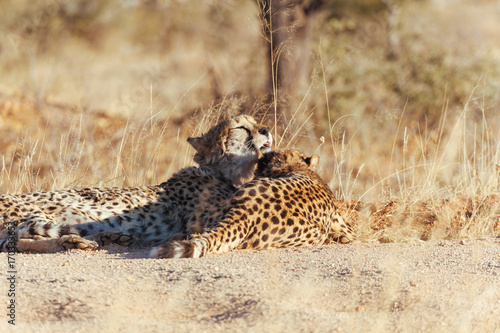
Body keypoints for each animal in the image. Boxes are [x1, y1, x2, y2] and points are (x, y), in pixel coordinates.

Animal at [0, 115, 272, 252]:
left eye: (256, 122)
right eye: (241, 127)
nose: (266, 129)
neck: (220, 172)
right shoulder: (206, 220)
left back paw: (105, 238)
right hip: (37, 213)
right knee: (20, 241)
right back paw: (79, 241)